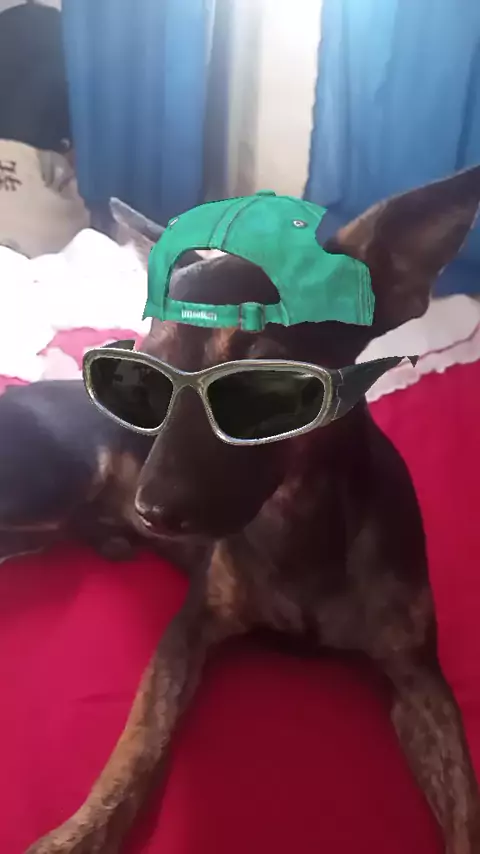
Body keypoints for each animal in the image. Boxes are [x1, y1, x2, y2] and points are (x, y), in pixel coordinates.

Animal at [2, 166, 480, 853]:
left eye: (266, 382)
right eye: (144, 374)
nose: (151, 511)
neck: (299, 522)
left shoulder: (419, 675)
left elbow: (467, 810)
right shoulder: (189, 629)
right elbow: (135, 749)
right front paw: (78, 835)